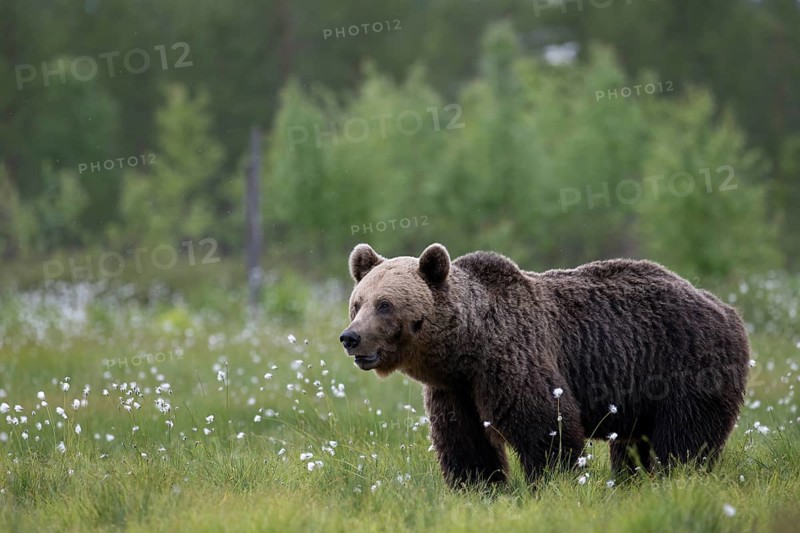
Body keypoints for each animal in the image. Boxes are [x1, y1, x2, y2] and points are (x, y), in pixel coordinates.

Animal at [339, 243, 750, 488]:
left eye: (385, 305)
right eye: (357, 303)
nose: (351, 337)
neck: (468, 349)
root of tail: (725, 307)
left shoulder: (515, 358)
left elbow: (546, 428)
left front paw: (550, 482)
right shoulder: (455, 390)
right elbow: (465, 442)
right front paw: (478, 486)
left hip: (688, 365)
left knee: (685, 440)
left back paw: (677, 477)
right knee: (635, 444)